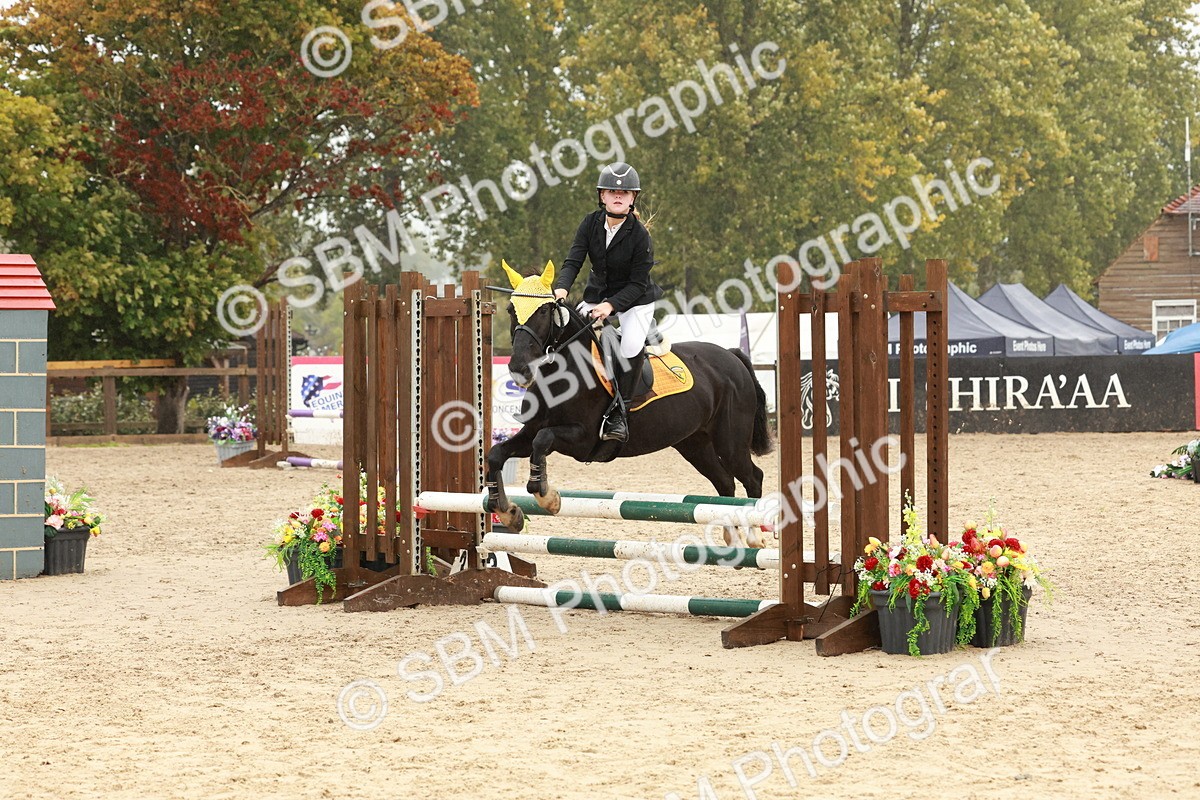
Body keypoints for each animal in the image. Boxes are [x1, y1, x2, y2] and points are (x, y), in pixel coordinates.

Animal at [485, 260, 773, 539]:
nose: (519, 369)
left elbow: (542, 441)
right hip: (695, 444)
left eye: (544, 312)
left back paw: (755, 538)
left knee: (753, 477)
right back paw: (732, 538)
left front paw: (549, 497)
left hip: (730, 442)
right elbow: (497, 454)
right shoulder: (531, 430)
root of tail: (731, 355)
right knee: (725, 482)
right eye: (510, 309)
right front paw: (509, 512)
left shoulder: (582, 438)